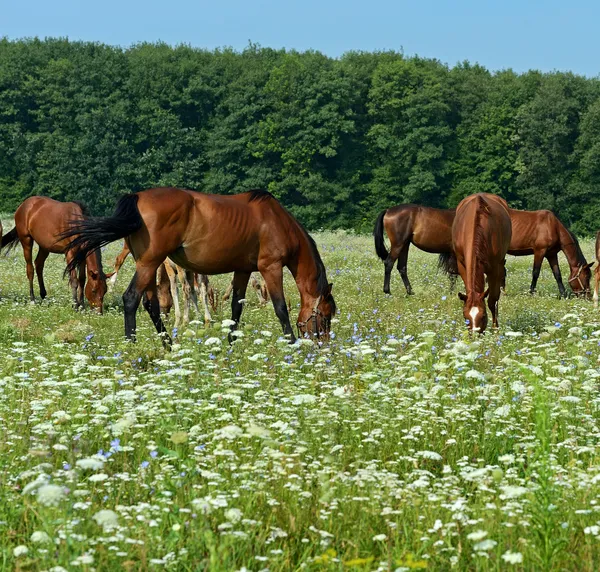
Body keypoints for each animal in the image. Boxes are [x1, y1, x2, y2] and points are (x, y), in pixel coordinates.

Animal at [61, 190, 338, 346]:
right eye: (325, 316)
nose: (323, 346)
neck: (275, 221)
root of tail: (137, 198)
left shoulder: (243, 270)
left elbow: (236, 308)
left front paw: (230, 344)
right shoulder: (271, 268)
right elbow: (280, 308)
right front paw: (291, 344)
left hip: (148, 265)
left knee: (150, 304)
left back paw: (169, 345)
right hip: (150, 263)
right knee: (131, 299)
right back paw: (132, 345)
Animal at [376, 203, 592, 298]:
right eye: (587, 276)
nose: (587, 295)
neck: (552, 225)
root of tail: (388, 210)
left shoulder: (550, 253)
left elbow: (557, 273)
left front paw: (563, 293)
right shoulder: (540, 251)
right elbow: (536, 272)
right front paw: (532, 292)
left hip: (405, 245)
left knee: (401, 267)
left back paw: (410, 291)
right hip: (399, 244)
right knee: (389, 263)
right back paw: (387, 291)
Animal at [450, 194, 510, 332]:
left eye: (483, 316)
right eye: (465, 316)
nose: (475, 334)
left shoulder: (495, 268)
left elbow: (492, 300)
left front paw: (495, 328)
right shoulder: (462, 265)